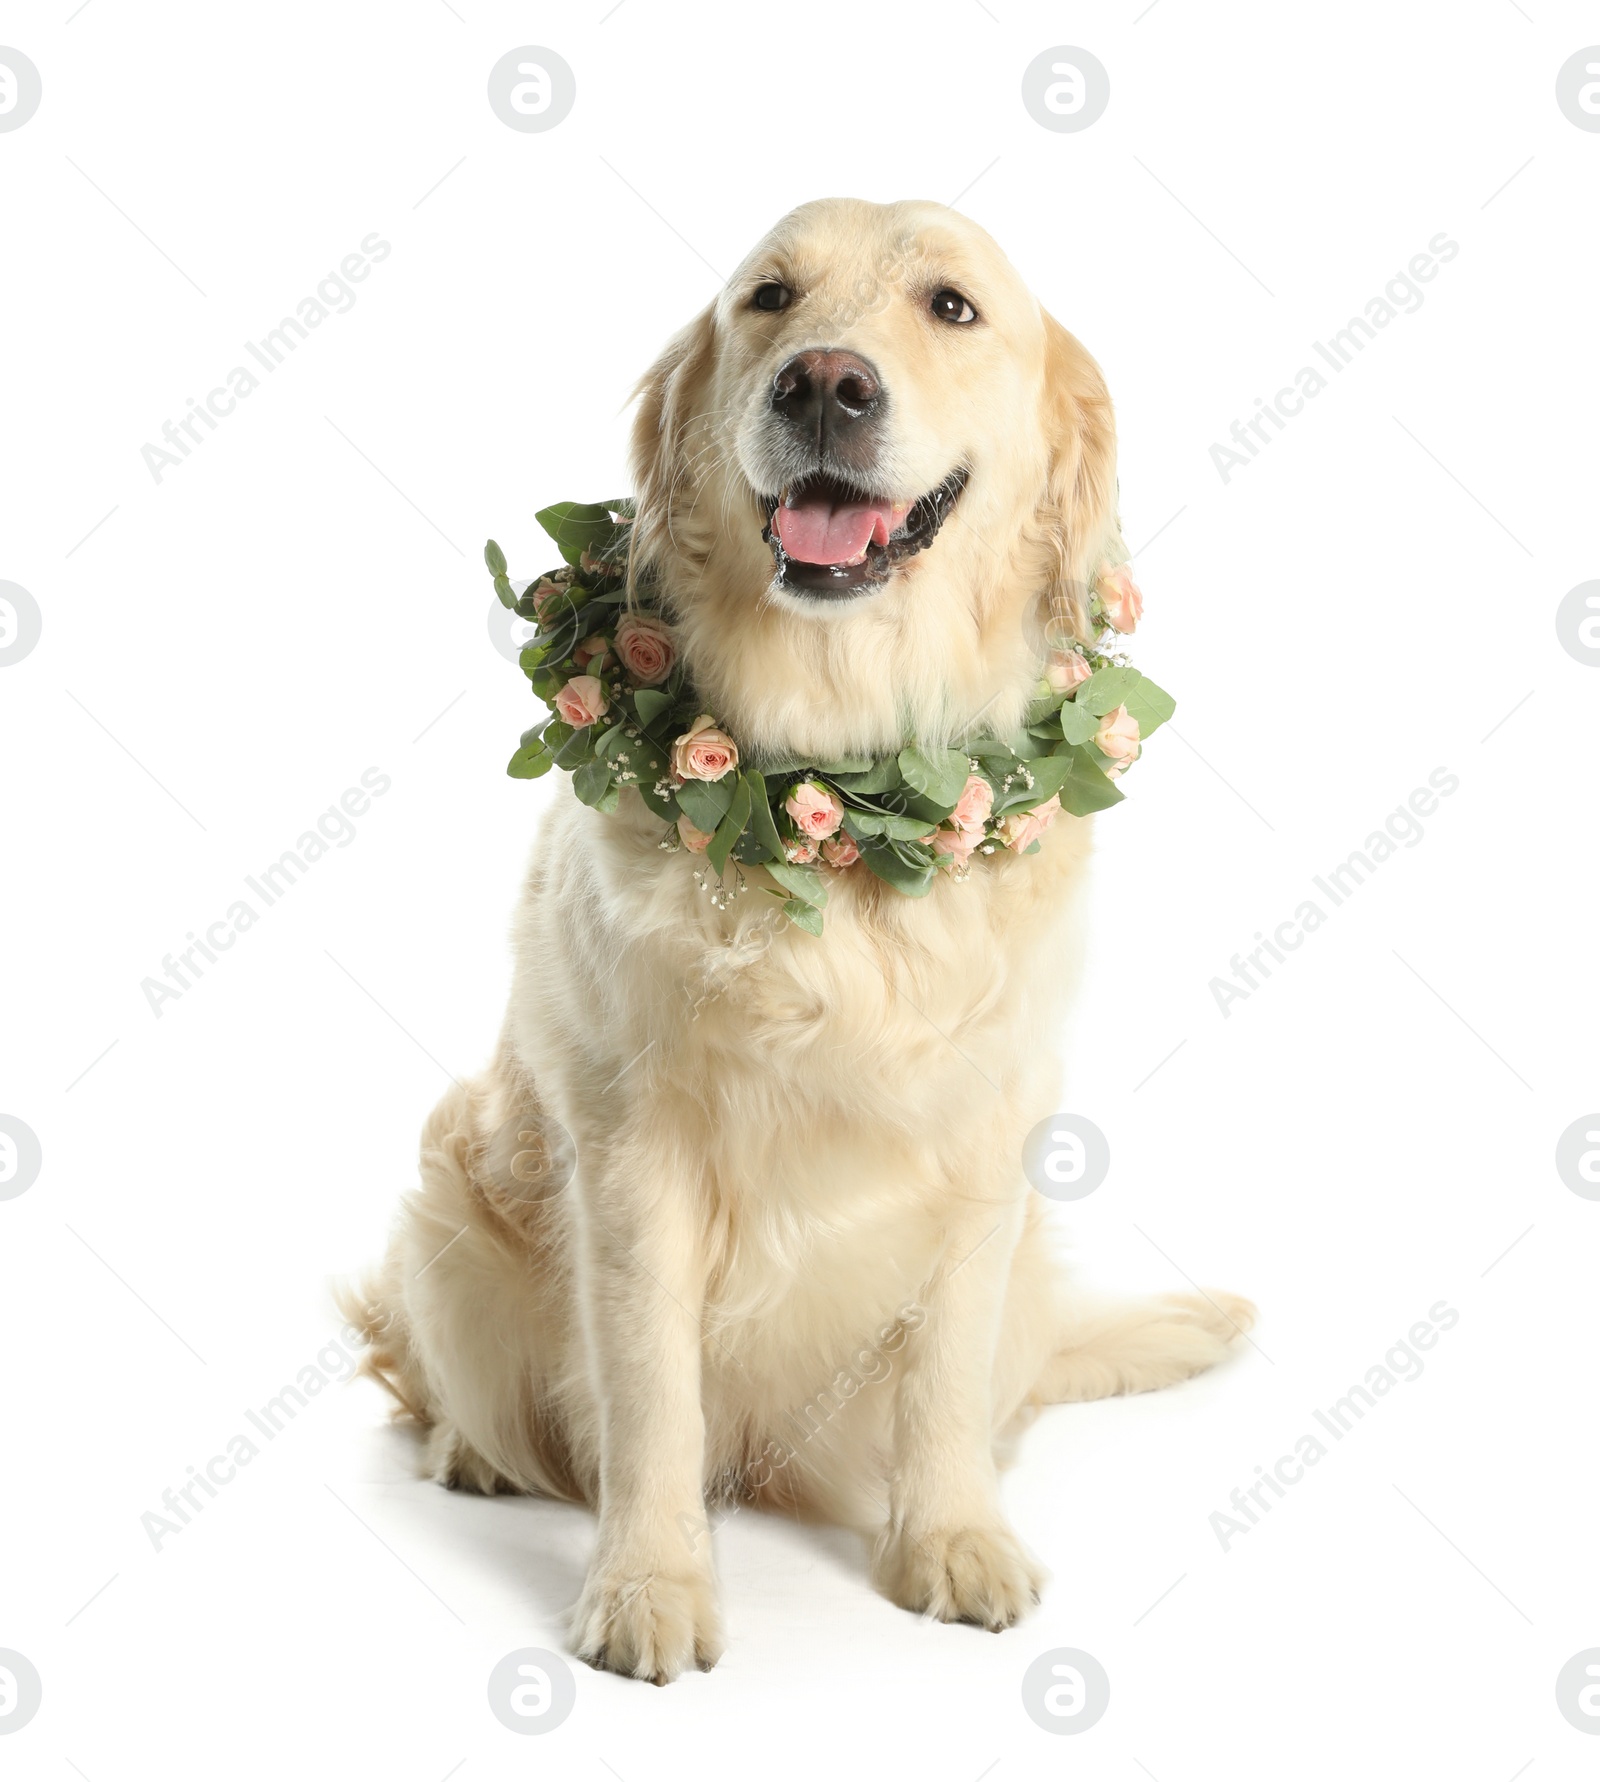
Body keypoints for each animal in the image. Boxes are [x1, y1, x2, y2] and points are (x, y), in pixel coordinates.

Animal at [342, 198, 1254, 1682]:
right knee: (436, 1377)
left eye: (951, 307)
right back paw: (475, 1455)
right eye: (769, 299)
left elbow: (946, 1374)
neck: (841, 798)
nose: (825, 382)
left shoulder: (988, 1137)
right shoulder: (632, 1146)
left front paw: (953, 1540)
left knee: (1020, 1368)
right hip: (449, 1200)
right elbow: (649, 1392)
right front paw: (647, 1586)